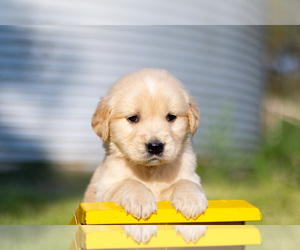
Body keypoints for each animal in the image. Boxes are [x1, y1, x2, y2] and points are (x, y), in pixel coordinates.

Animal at [83, 68, 207, 219]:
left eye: (171, 117)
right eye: (133, 118)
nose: (155, 146)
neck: (151, 171)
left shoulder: (191, 177)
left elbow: (186, 182)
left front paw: (191, 199)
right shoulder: (105, 189)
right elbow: (129, 182)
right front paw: (140, 200)